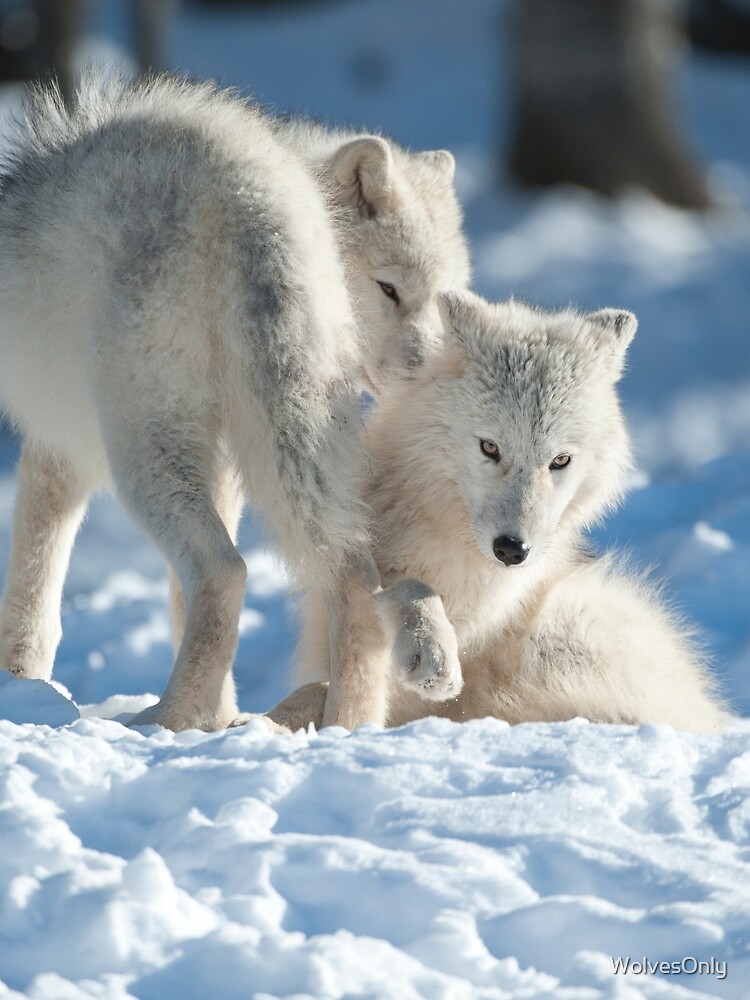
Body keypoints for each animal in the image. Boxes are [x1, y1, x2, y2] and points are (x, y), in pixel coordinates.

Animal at [0, 72, 470, 731]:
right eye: (390, 290)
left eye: (442, 300)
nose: (429, 373)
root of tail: (250, 195)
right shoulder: (212, 465)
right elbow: (169, 601)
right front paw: (220, 717)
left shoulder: (62, 448)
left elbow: (32, 582)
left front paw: (17, 681)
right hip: (295, 443)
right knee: (347, 573)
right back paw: (344, 725)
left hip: (144, 451)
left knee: (225, 571)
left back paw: (162, 720)